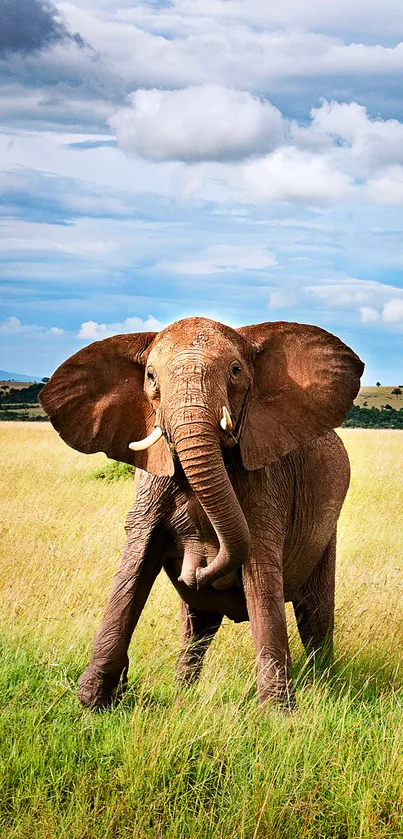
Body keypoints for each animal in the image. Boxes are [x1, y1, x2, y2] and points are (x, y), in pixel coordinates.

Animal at [39, 318, 364, 712]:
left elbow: (260, 574)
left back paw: (324, 686)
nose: (197, 565)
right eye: (150, 376)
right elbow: (135, 564)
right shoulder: (151, 480)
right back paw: (183, 692)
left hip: (326, 532)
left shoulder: (267, 483)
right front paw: (93, 702)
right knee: (197, 625)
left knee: (315, 616)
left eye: (236, 370)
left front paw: (277, 716)